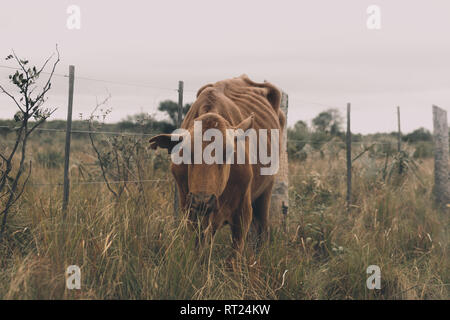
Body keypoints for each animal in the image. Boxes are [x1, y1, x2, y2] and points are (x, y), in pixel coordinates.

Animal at [149, 75, 286, 262]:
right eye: (186, 153)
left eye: (227, 152)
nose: (203, 200)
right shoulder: (191, 212)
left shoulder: (243, 215)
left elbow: (233, 259)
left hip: (265, 192)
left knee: (262, 232)